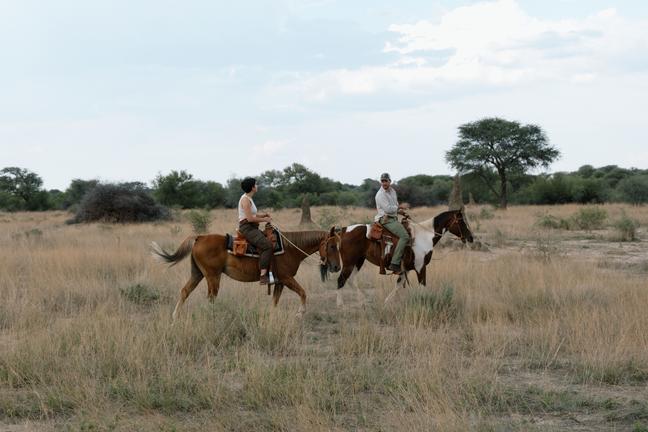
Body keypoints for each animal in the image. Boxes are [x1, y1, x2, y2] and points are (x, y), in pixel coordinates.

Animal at [151, 226, 342, 319]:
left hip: (197, 274)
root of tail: (200, 237)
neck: (289, 248)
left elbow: (275, 301)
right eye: (332, 246)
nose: (336, 268)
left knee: (185, 291)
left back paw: (175, 316)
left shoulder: (279, 282)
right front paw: (300, 313)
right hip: (212, 276)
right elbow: (303, 292)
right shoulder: (287, 278)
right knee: (211, 297)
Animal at [330, 209, 473, 305]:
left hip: (359, 261)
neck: (425, 236)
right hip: (349, 263)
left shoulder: (406, 269)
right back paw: (340, 305)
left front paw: (387, 302)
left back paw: (363, 300)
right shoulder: (420, 267)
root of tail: (344, 230)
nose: (470, 238)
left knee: (351, 280)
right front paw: (424, 302)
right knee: (341, 280)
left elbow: (399, 285)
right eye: (461, 221)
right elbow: (422, 286)